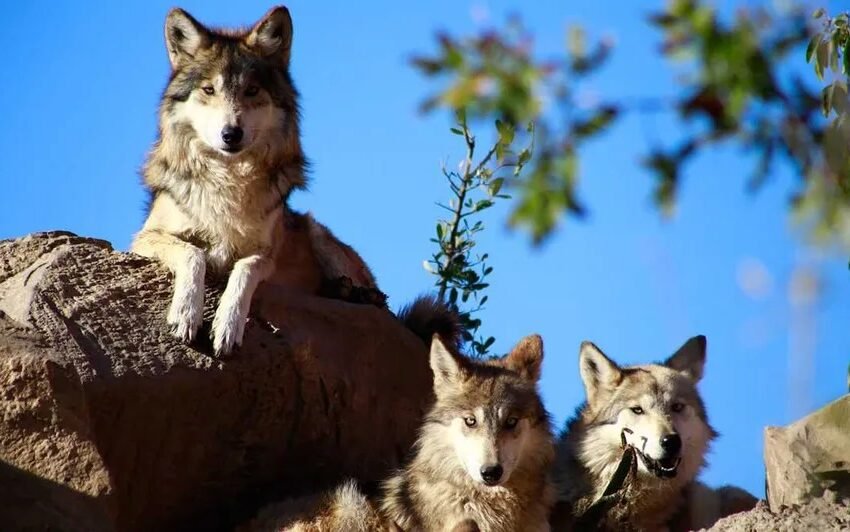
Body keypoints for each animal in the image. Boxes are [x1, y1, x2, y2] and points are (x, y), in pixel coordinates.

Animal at [132, 6, 385, 356]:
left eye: (251, 91)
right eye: (209, 90)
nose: (230, 133)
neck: (227, 180)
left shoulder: (267, 253)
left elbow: (244, 270)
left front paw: (227, 326)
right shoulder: (144, 238)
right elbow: (193, 253)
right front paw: (185, 313)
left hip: (315, 230)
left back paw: (354, 293)